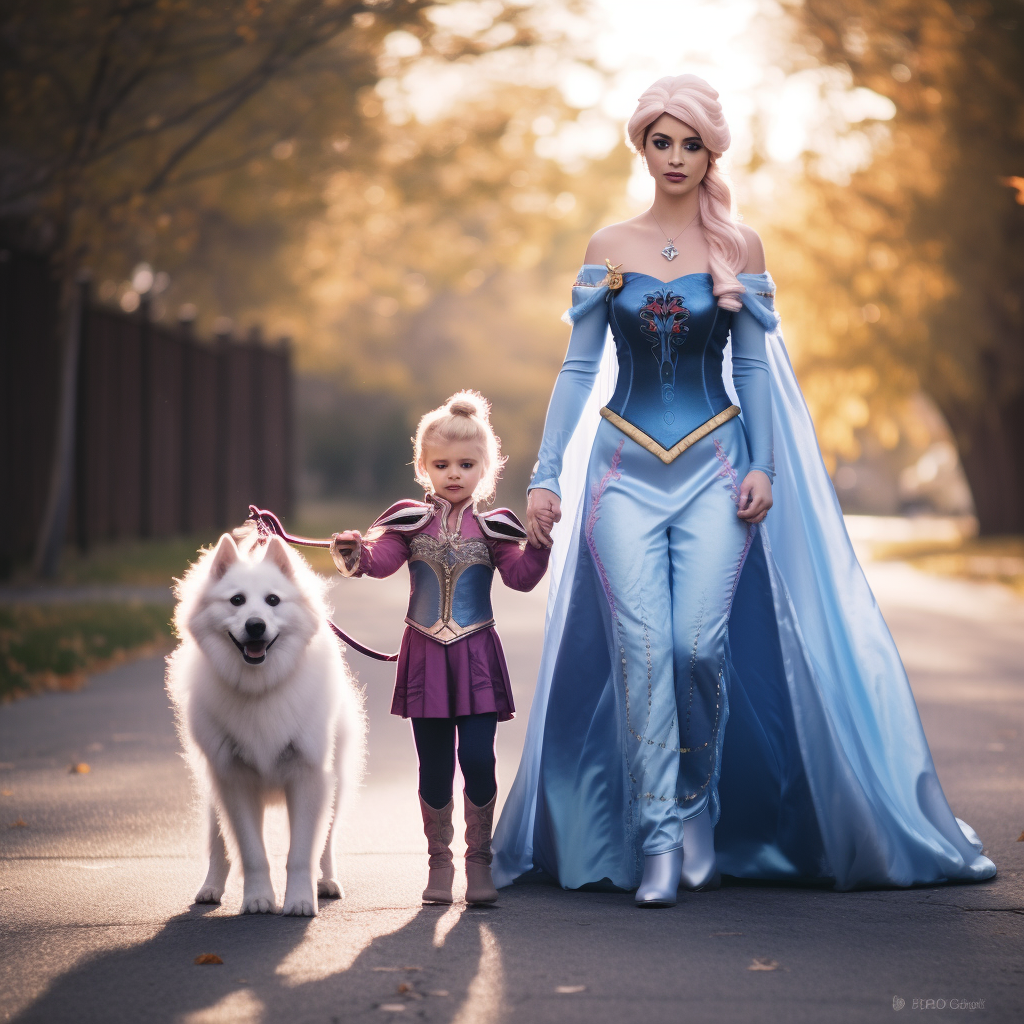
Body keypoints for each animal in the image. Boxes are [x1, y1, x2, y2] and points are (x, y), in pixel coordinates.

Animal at [164, 532, 364, 917]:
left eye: (273, 600)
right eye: (236, 600)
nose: (255, 625)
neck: (261, 686)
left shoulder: (308, 775)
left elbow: (302, 853)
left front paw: (300, 901)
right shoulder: (233, 778)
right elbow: (251, 851)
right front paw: (258, 899)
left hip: (336, 785)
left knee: (327, 841)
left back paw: (327, 881)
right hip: (214, 793)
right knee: (219, 844)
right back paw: (211, 887)